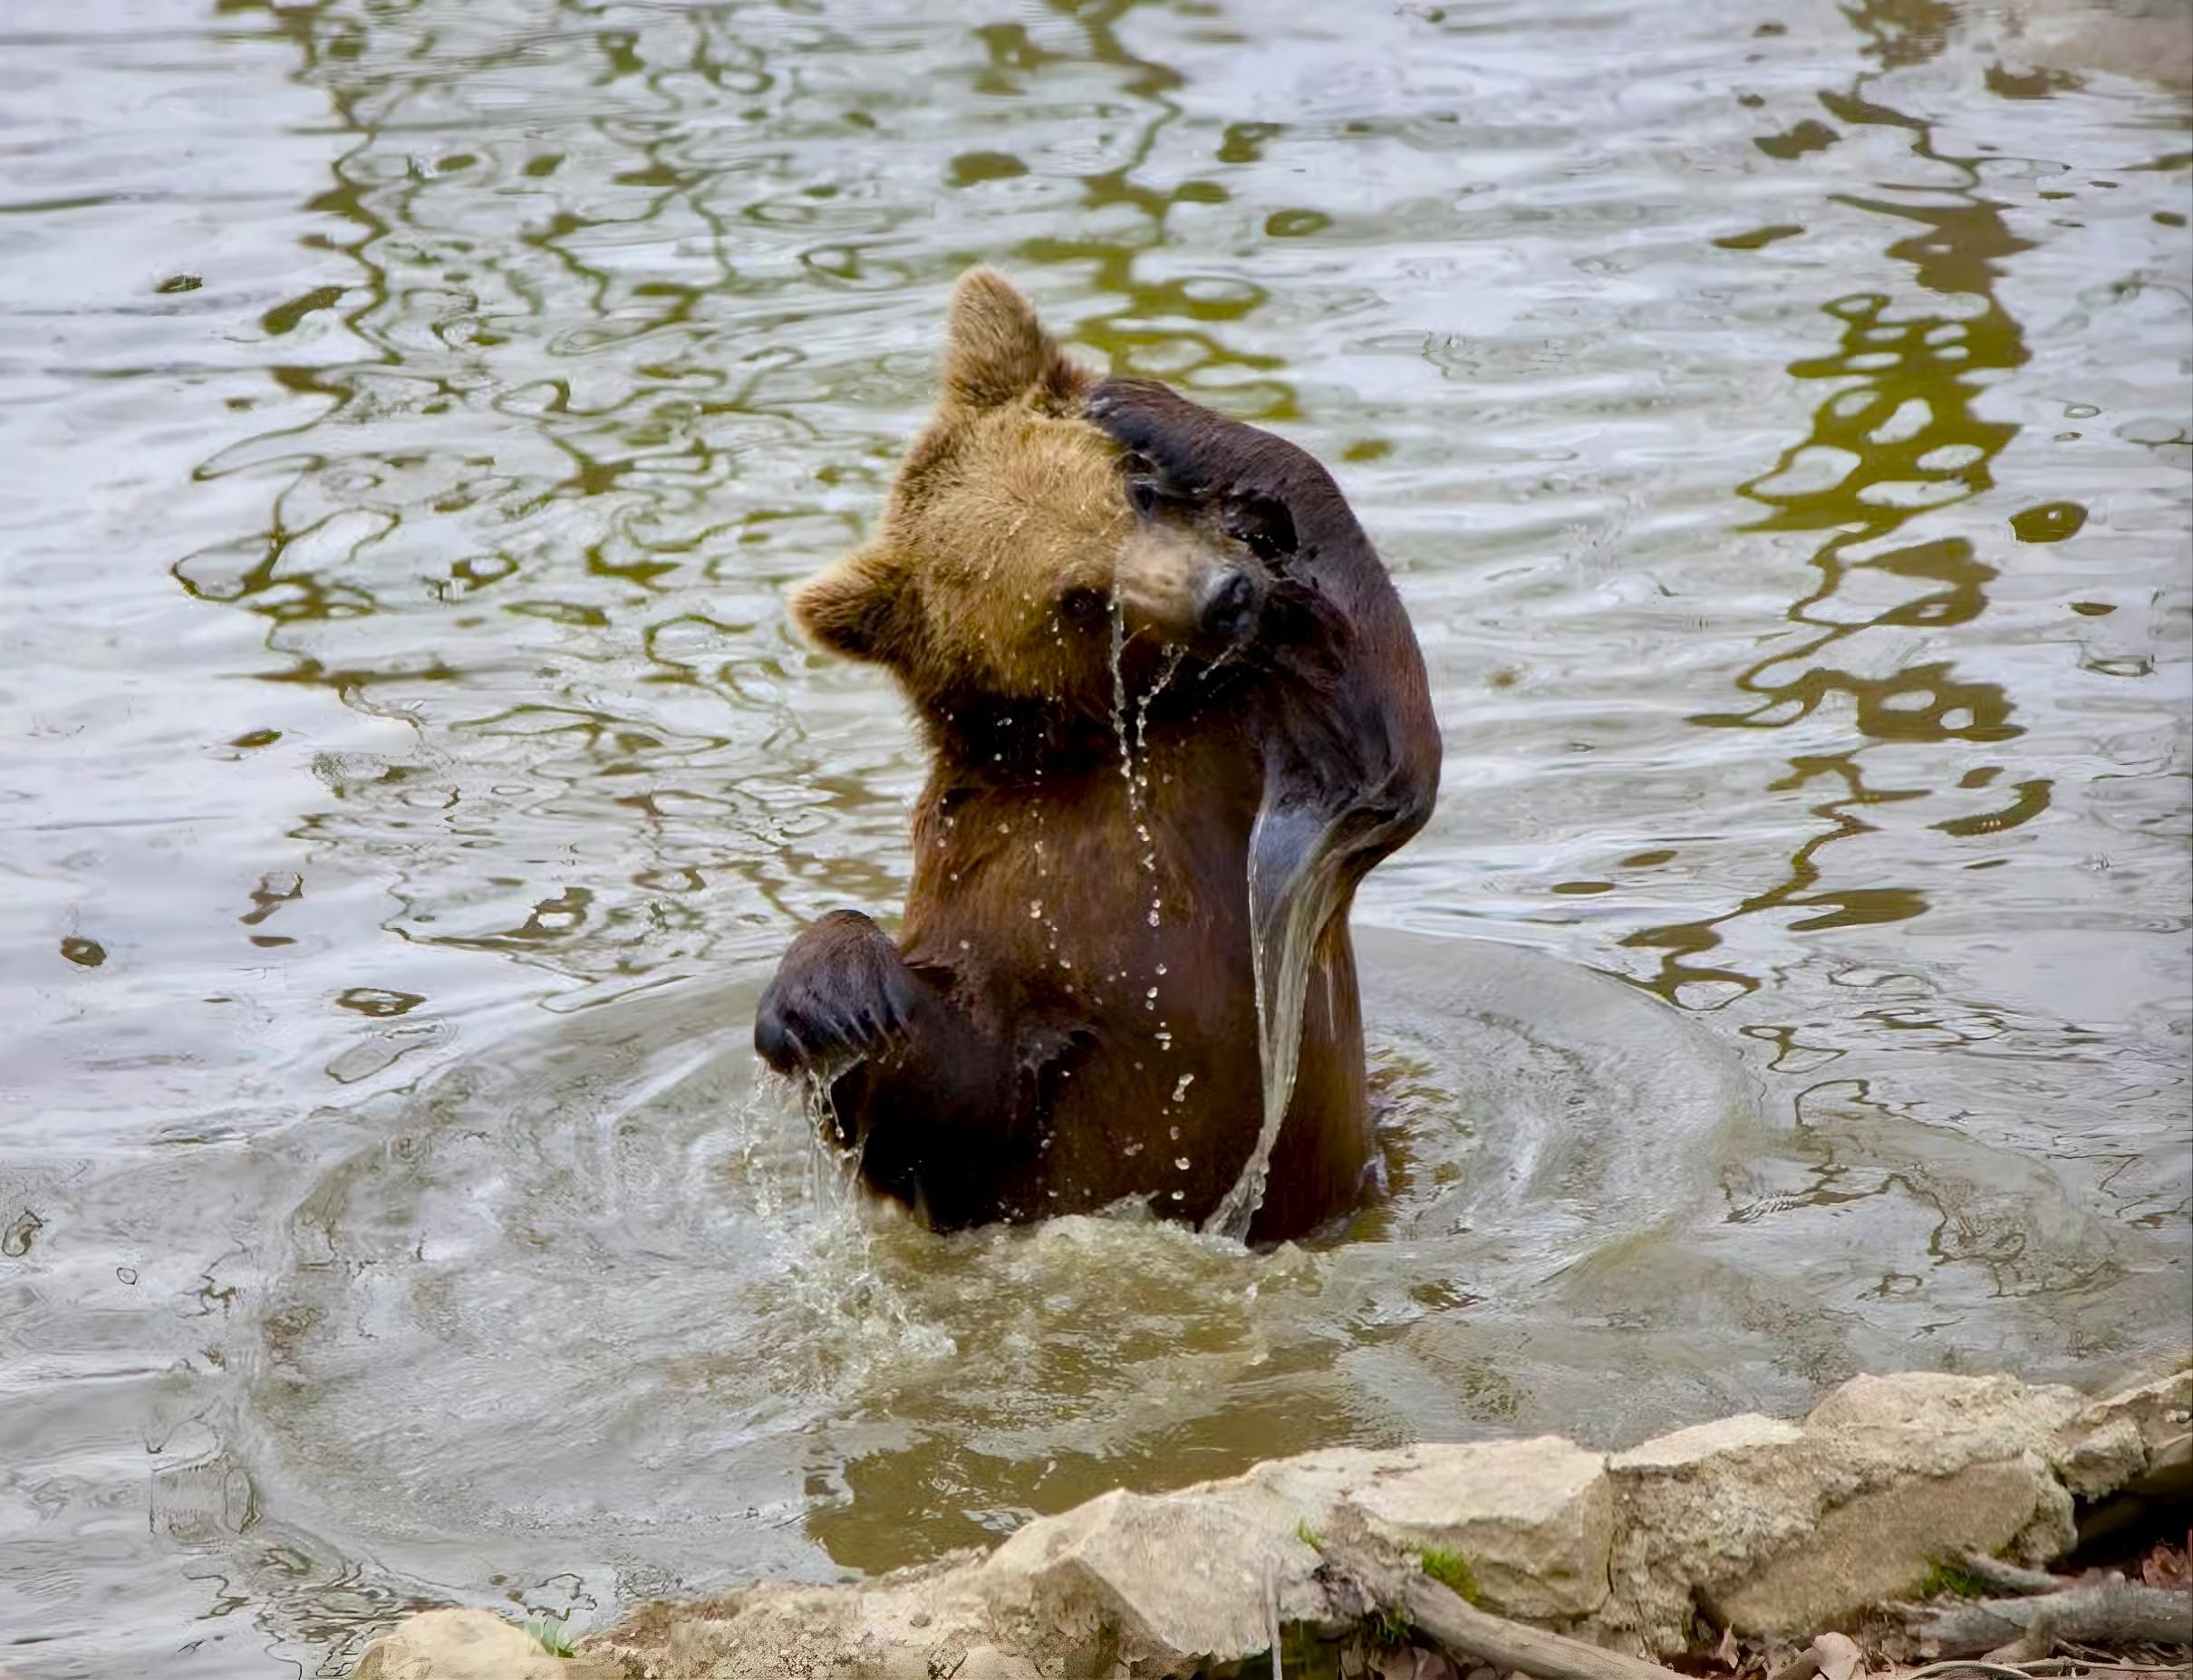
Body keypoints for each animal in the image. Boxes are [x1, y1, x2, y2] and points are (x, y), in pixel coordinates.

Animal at [755, 269, 1439, 1244]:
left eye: (1137, 493)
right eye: (1076, 598)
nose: (1226, 596)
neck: (1117, 734)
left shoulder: (1263, 746)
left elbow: (1382, 739)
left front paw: (1146, 405)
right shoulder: (1008, 905)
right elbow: (964, 1095)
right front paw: (834, 994)